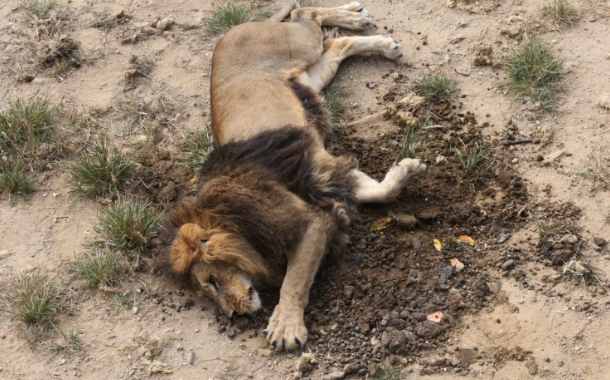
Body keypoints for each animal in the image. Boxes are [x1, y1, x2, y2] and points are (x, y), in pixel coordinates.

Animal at [164, 2, 426, 352]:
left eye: (212, 281)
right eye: (207, 292)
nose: (234, 315)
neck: (235, 223)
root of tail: (233, 30)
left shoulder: (314, 219)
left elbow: (295, 278)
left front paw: (285, 326)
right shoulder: (325, 177)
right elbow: (378, 191)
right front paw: (406, 171)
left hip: (299, 44)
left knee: (306, 14)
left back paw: (355, 17)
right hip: (314, 76)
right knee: (337, 44)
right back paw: (380, 40)